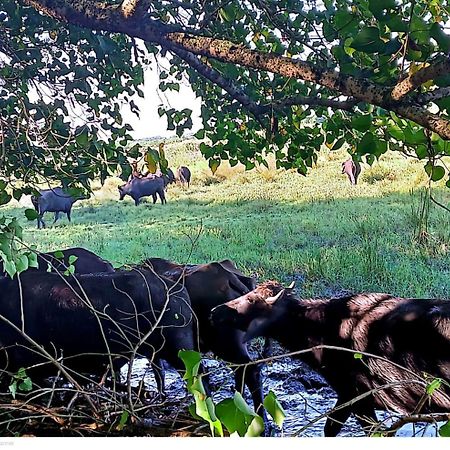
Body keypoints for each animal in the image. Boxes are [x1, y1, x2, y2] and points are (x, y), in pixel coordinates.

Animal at [213, 282, 450, 436]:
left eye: (251, 298)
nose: (215, 311)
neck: (323, 329)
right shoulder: (348, 396)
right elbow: (331, 428)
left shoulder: (356, 395)